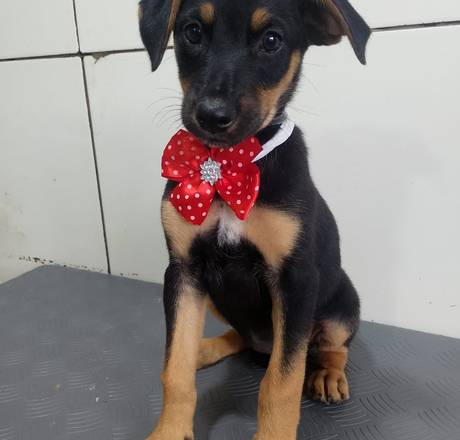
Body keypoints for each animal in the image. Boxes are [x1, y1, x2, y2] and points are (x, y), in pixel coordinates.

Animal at [139, 0, 370, 439]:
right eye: (192, 32)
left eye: (272, 40)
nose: (212, 116)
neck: (227, 165)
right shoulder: (183, 271)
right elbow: (174, 369)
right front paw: (170, 429)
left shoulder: (295, 280)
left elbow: (280, 384)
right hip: (214, 297)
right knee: (238, 337)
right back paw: (205, 348)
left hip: (341, 304)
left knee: (333, 346)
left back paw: (328, 375)